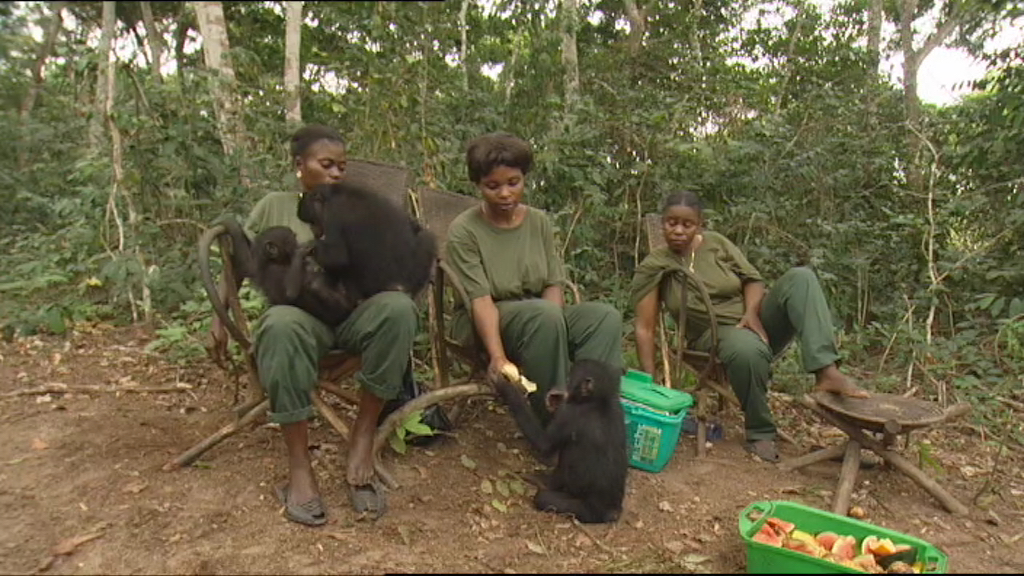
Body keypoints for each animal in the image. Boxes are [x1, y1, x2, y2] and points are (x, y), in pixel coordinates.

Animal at [297, 181, 438, 303]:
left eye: (313, 221)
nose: (314, 230)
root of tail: (398, 287)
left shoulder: (334, 212)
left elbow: (337, 256)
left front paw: (311, 245)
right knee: (427, 238)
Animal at [492, 359, 628, 524]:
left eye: (569, 379)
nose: (565, 389)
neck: (598, 400)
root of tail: (611, 512)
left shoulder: (569, 412)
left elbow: (543, 442)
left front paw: (505, 386)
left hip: (584, 510)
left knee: (545, 494)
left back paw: (545, 482)